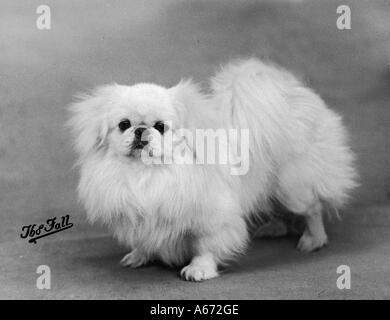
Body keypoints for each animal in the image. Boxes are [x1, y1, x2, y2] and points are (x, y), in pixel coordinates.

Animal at [67, 58, 356, 282]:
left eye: (160, 126)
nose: (141, 130)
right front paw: (140, 256)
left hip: (292, 184)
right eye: (124, 124)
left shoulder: (212, 217)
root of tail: (291, 91)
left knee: (312, 208)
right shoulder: (142, 214)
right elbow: (144, 240)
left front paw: (199, 270)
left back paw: (313, 240)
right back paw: (275, 228)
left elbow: (206, 246)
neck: (148, 175)